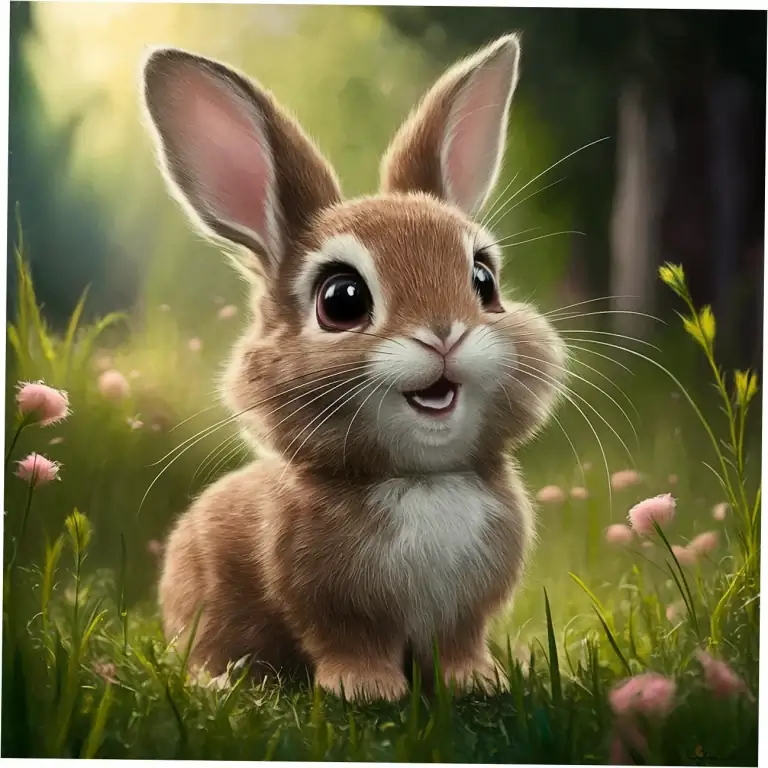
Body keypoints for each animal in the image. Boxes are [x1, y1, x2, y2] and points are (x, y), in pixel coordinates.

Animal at [142, 33, 566, 701]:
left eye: (484, 280)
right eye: (341, 300)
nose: (444, 333)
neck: (421, 478)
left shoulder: (464, 615)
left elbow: (459, 645)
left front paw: (476, 683)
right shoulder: (331, 608)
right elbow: (349, 644)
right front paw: (366, 691)